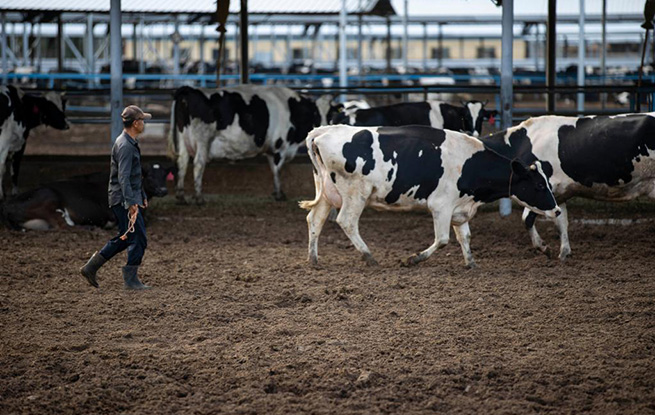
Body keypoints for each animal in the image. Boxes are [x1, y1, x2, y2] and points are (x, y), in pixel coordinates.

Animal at [0, 164, 174, 232]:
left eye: (164, 176)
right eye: (150, 176)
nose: (163, 190)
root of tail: (7, 205)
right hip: (50, 199)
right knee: (64, 226)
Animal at [168, 85, 338, 204]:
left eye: (331, 115)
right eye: (316, 114)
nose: (324, 129)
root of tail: (188, 90)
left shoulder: (271, 150)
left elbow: (273, 169)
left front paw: (276, 192)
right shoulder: (280, 147)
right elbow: (277, 170)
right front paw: (279, 194)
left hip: (183, 140)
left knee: (182, 162)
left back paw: (180, 196)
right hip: (203, 139)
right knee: (198, 163)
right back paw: (199, 197)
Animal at [300, 123, 560, 268]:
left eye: (547, 182)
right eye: (539, 185)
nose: (557, 210)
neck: (469, 163)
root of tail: (323, 131)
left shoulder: (459, 208)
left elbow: (465, 237)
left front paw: (471, 263)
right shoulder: (441, 206)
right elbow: (443, 239)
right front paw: (413, 259)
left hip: (326, 191)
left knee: (315, 219)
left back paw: (313, 259)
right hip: (355, 193)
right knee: (347, 221)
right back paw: (369, 256)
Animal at [512, 113, 655, 260]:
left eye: (540, 184)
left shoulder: (545, 190)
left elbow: (527, 218)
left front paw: (543, 247)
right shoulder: (558, 194)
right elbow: (561, 221)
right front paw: (564, 253)